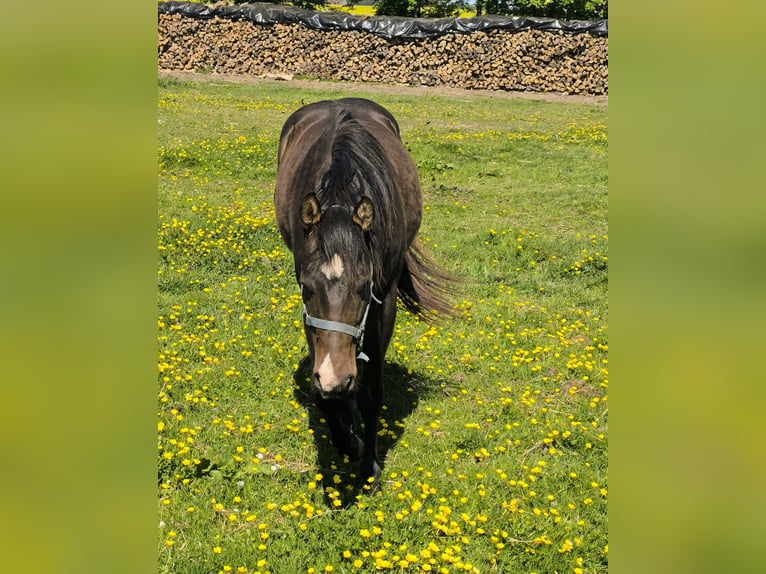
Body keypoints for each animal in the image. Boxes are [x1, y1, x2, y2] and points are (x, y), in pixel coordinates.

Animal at [274, 98, 455, 488]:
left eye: (363, 286)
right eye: (307, 288)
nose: (335, 377)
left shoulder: (383, 301)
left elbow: (372, 391)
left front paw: (369, 464)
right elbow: (322, 393)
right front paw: (349, 441)